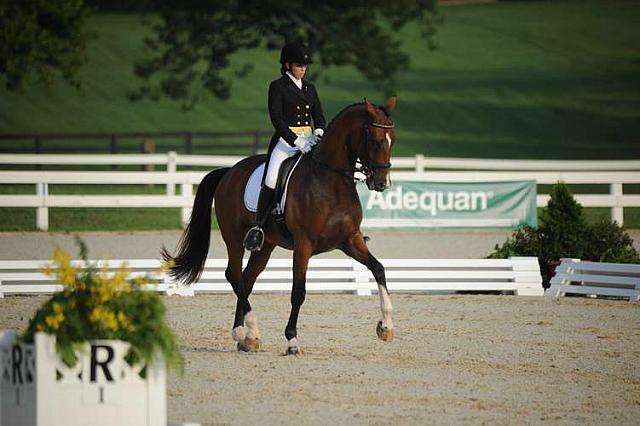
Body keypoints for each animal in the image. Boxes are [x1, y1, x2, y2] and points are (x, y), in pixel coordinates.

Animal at [162, 96, 398, 356]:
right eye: (375, 139)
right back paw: (247, 332)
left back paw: (246, 338)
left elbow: (378, 268)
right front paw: (292, 341)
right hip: (234, 237)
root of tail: (229, 171)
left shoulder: (350, 240)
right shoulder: (303, 245)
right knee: (234, 274)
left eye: (393, 139)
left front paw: (386, 327)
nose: (382, 183)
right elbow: (298, 292)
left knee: (246, 278)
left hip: (265, 245)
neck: (331, 182)